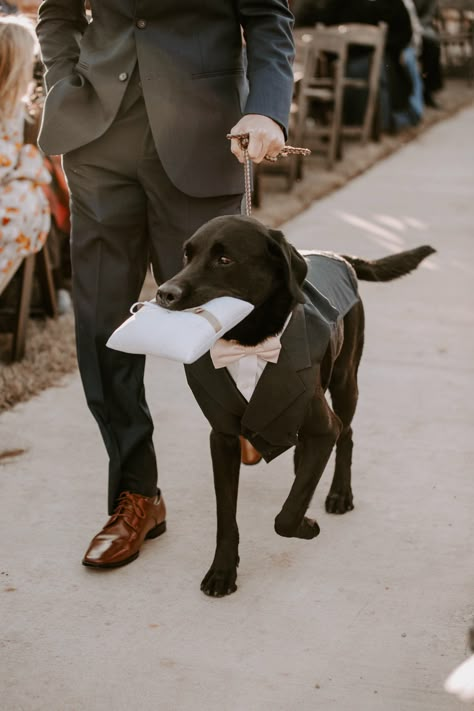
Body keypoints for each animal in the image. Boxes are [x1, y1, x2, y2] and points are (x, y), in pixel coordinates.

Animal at [156, 214, 436, 596]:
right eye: (187, 255)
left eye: (225, 260)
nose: (164, 293)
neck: (250, 344)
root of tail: (338, 255)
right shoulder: (222, 438)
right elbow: (226, 515)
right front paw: (222, 571)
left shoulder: (325, 425)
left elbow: (286, 517)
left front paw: (306, 524)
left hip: (345, 381)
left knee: (347, 435)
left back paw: (339, 493)